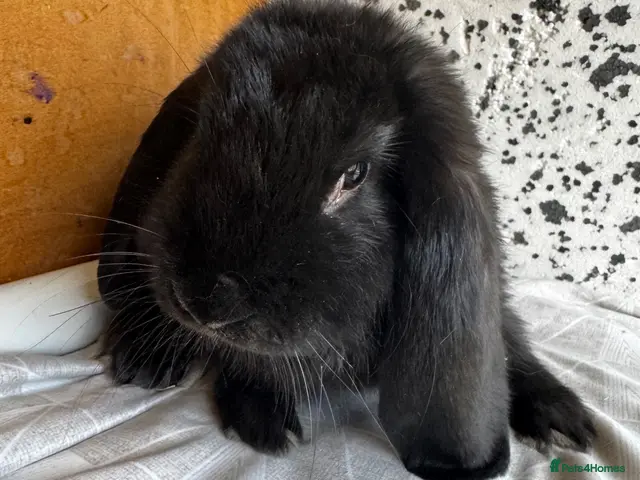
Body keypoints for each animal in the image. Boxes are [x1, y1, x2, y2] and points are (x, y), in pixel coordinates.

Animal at [97, 1, 596, 478]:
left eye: (355, 174)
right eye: (200, 130)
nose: (204, 300)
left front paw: (561, 418)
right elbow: (249, 362)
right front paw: (265, 422)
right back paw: (148, 361)